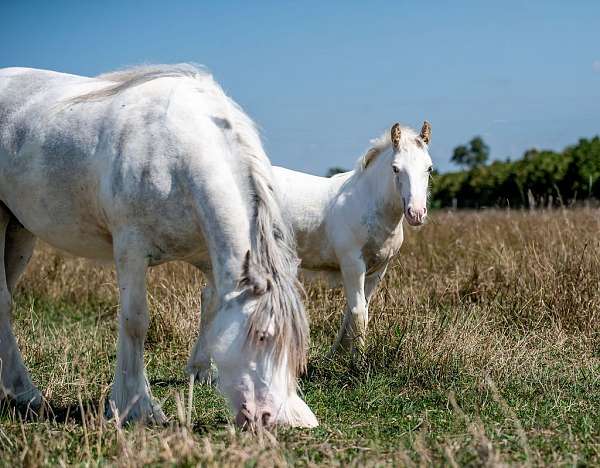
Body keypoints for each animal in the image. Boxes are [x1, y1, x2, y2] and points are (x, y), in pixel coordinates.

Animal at [0, 63, 318, 428]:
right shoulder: (130, 249)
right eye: (263, 336)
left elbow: (210, 306)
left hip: (19, 231)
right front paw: (136, 405)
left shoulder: (210, 258)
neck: (176, 155)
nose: (274, 419)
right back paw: (26, 392)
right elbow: (135, 320)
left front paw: (199, 371)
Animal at [190, 121, 434, 376]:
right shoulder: (352, 263)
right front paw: (357, 363)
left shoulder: (378, 269)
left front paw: (337, 355)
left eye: (429, 168)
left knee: (212, 296)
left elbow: (355, 311)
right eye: (396, 168)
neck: (367, 201)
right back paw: (206, 370)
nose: (416, 213)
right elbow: (358, 311)